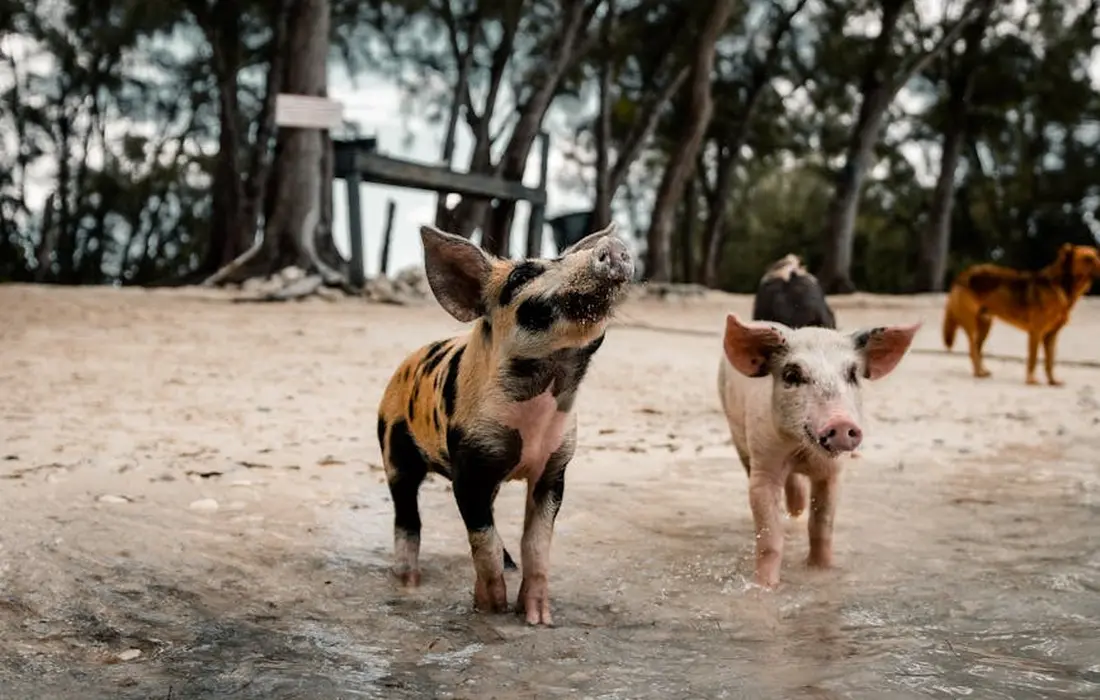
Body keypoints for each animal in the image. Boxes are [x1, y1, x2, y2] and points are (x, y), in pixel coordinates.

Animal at [377, 222, 634, 626]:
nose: (615, 245)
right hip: (393, 446)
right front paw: (491, 609)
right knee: (407, 517)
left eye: (560, 257)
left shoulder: (555, 467)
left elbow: (537, 543)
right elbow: (483, 539)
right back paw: (407, 581)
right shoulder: (471, 463)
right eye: (521, 275)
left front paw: (538, 618)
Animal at [717, 313, 919, 588]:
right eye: (792, 374)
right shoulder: (764, 463)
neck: (802, 452)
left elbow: (821, 527)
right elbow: (770, 538)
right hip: (737, 434)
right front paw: (766, 587)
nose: (840, 422)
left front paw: (822, 572)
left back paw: (797, 508)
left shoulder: (833, 472)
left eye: (852, 374)